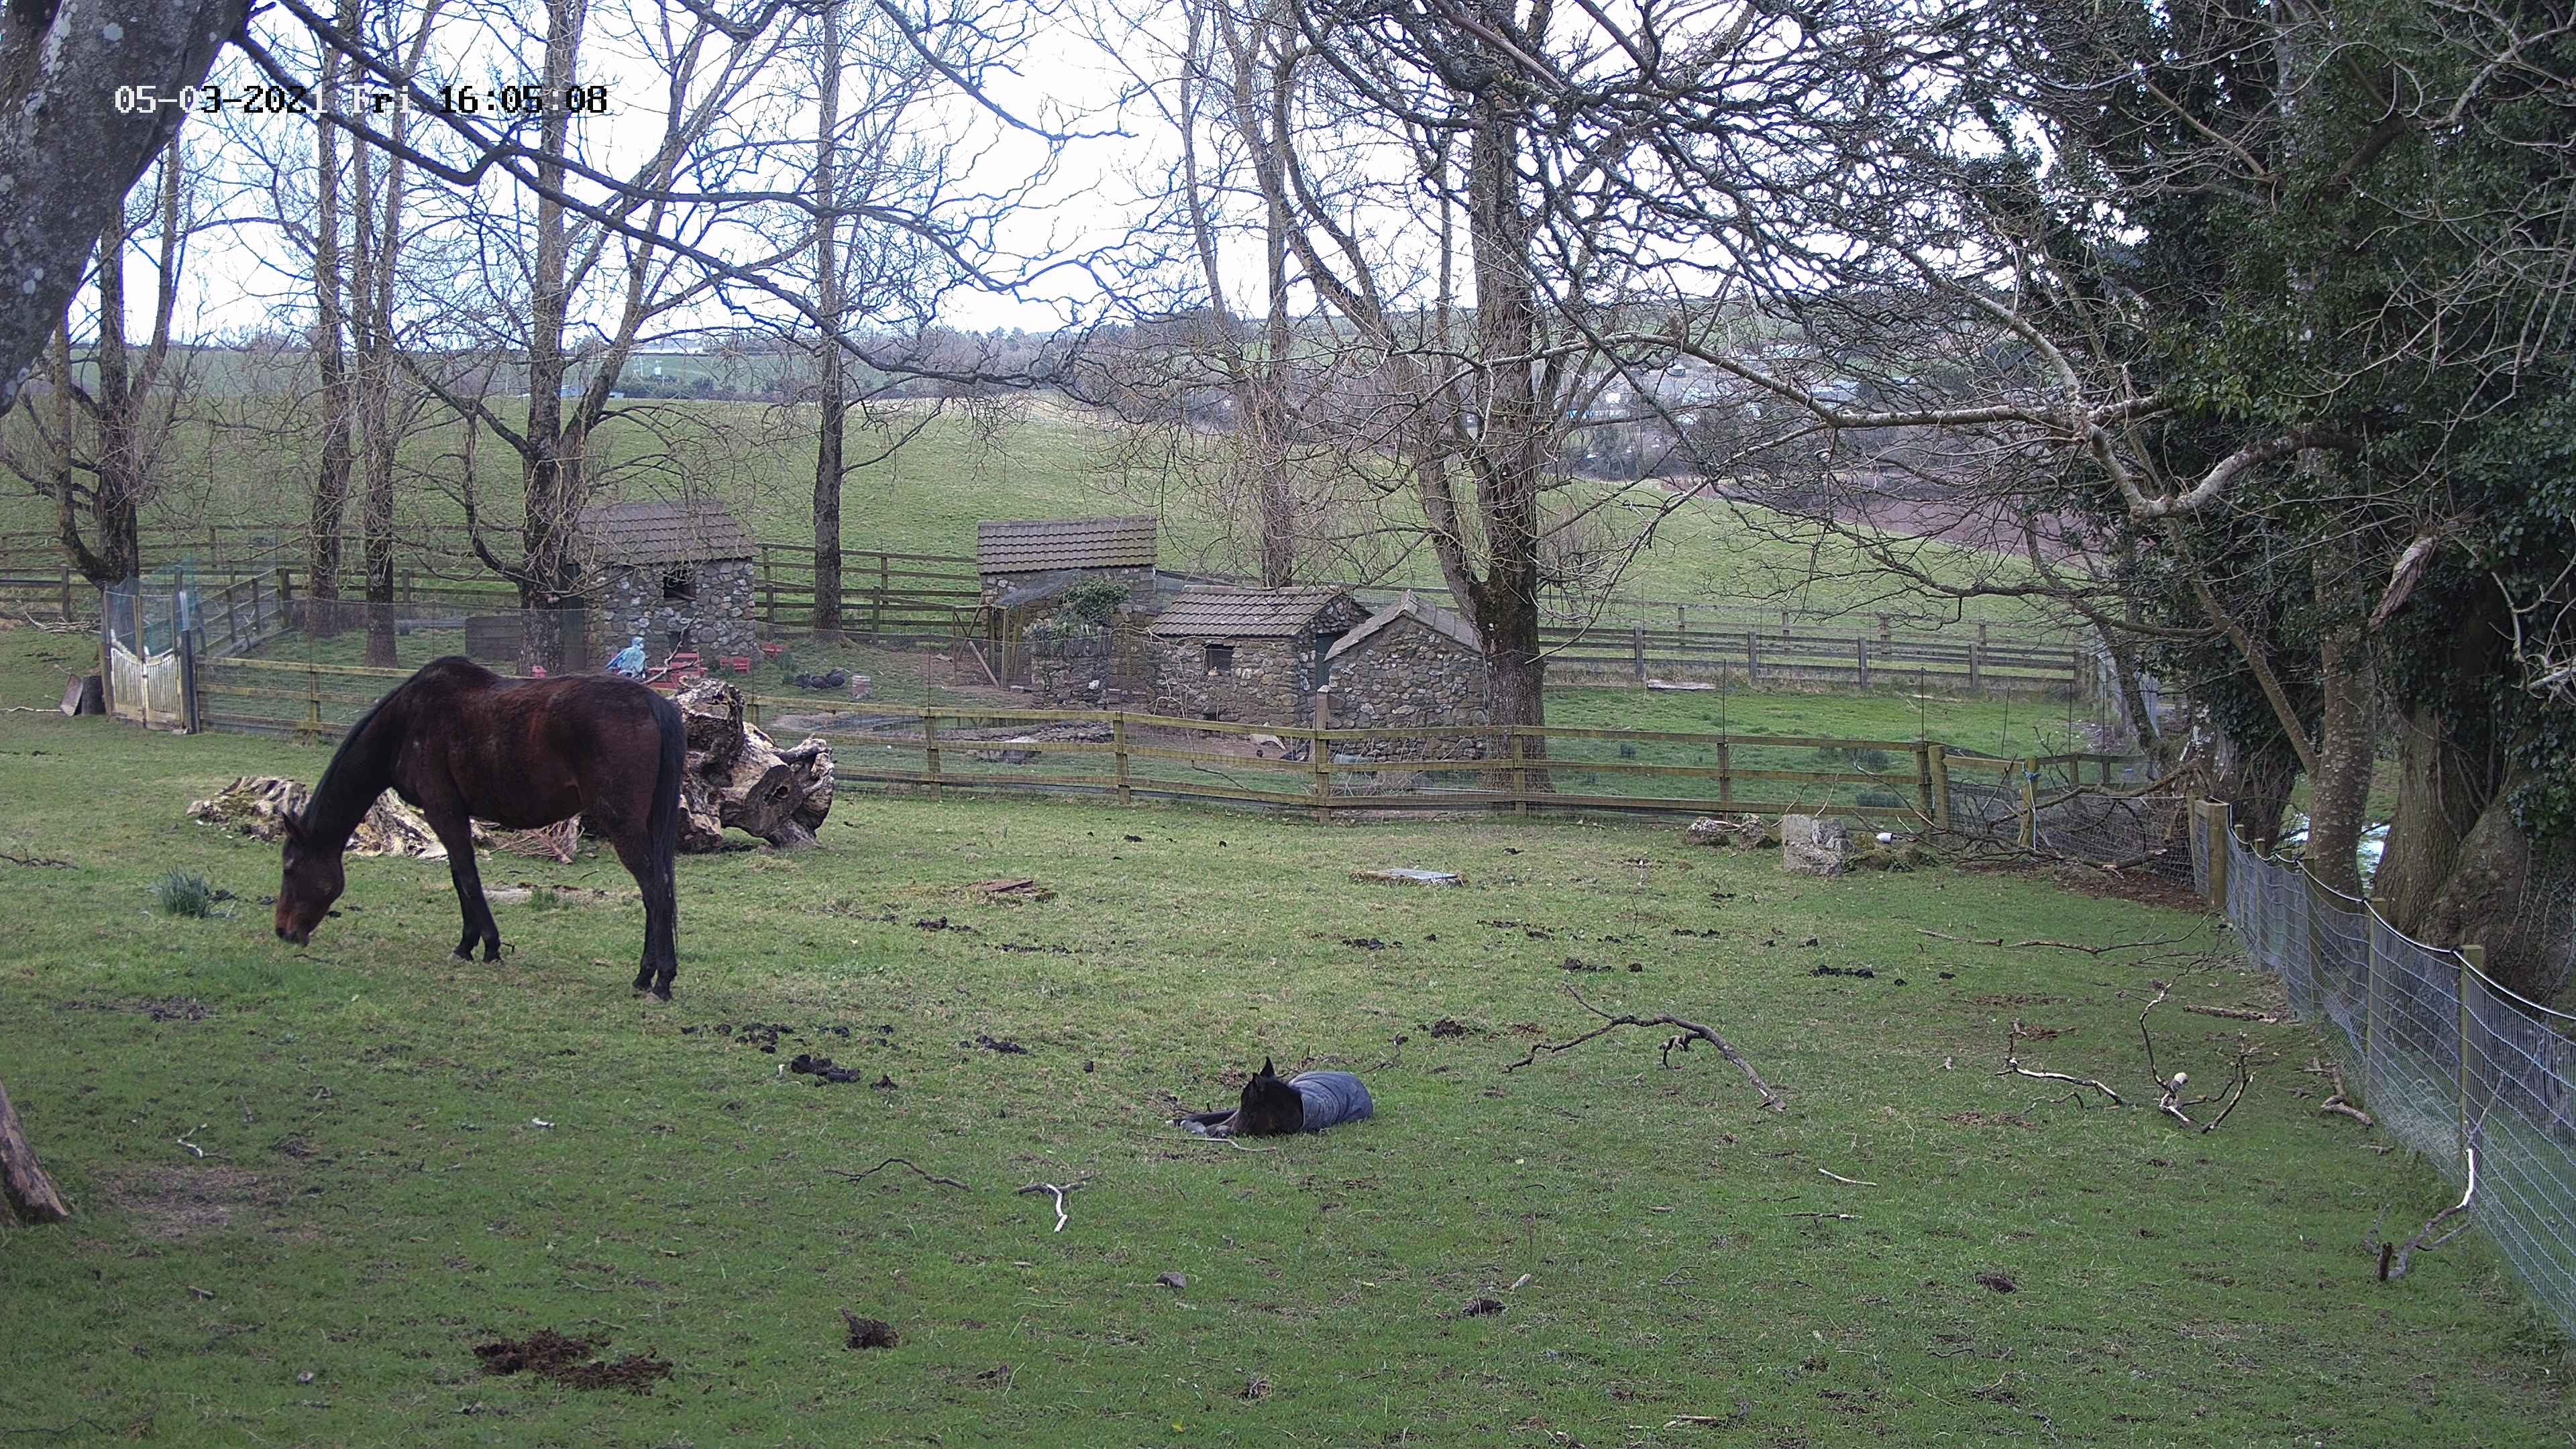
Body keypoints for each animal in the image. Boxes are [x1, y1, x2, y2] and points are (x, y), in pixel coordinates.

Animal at [273, 656, 689, 998]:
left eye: (290, 868)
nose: (283, 932)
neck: (406, 725)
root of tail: (653, 704)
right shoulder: (454, 813)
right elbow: (462, 878)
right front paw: (470, 945)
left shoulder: (443, 810)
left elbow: (467, 877)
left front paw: (483, 945)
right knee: (658, 892)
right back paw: (646, 976)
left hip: (622, 823)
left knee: (655, 890)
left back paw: (660, 979)